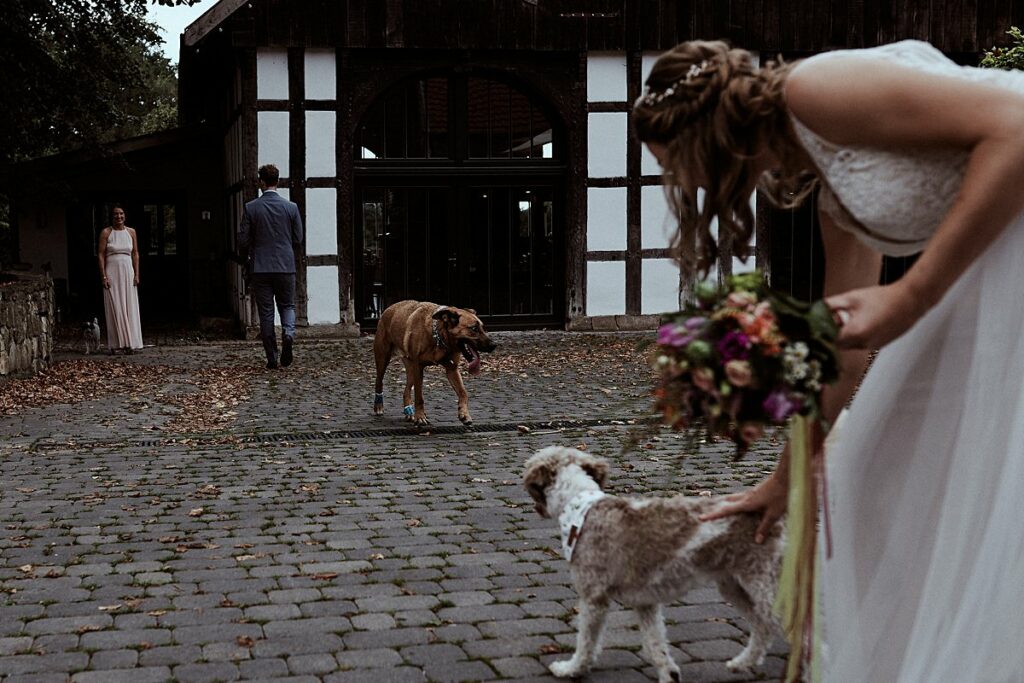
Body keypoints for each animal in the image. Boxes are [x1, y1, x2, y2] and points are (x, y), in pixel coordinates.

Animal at [524, 446, 778, 679]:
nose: (536, 509)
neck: (582, 507)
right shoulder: (646, 602)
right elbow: (655, 643)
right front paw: (669, 674)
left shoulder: (593, 598)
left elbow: (586, 641)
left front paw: (572, 669)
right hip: (734, 586)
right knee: (763, 627)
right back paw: (743, 663)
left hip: (763, 584)